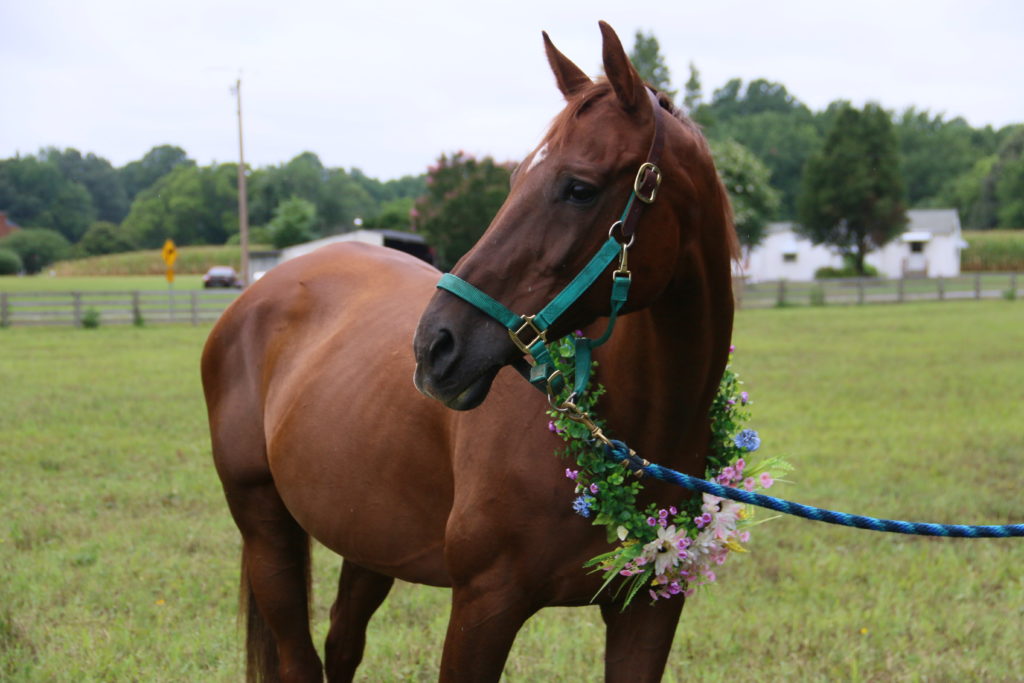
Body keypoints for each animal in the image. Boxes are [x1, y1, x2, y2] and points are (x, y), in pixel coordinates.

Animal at [202, 21, 737, 682]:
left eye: (579, 188)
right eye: (514, 181)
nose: (435, 346)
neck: (633, 432)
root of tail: (255, 294)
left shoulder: (649, 609)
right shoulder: (484, 605)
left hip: (367, 539)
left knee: (341, 643)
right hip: (264, 528)